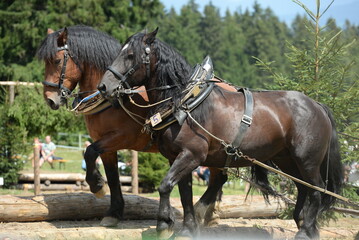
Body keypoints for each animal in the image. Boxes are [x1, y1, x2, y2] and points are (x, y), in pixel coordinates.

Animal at [35, 25, 224, 228]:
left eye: (56, 60)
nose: (50, 99)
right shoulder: (106, 145)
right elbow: (112, 176)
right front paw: (114, 212)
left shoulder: (122, 137)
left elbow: (90, 152)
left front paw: (97, 185)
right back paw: (209, 214)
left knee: (218, 177)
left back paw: (203, 213)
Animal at [99, 28, 346, 240]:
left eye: (131, 55)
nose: (103, 87)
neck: (186, 104)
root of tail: (316, 105)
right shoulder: (178, 158)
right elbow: (185, 194)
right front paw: (187, 228)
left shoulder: (191, 155)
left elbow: (165, 185)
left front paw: (163, 224)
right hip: (287, 160)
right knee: (303, 188)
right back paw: (303, 223)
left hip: (308, 160)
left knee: (316, 190)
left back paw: (305, 230)